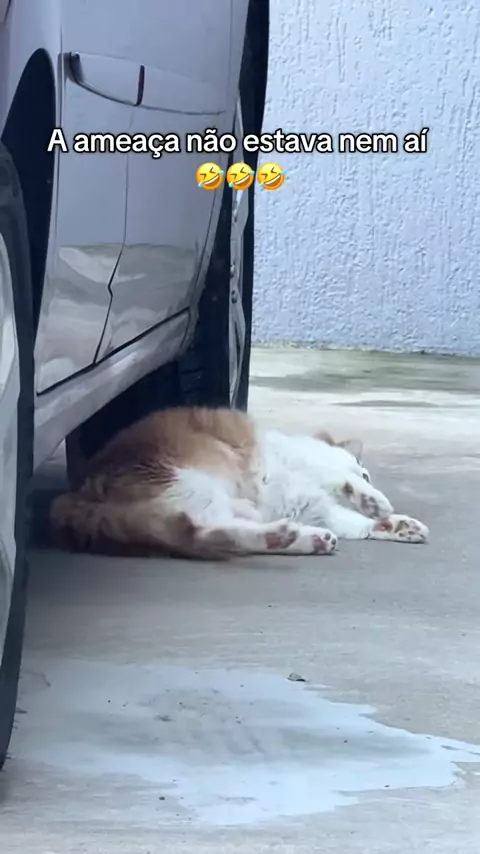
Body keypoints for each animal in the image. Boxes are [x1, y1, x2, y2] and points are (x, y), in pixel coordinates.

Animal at [50, 406, 429, 559]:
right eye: (365, 472)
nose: (366, 476)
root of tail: (75, 498)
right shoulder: (310, 477)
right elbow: (344, 484)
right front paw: (374, 500)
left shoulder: (309, 504)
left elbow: (356, 523)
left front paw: (399, 526)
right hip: (192, 485)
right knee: (204, 534)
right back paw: (285, 535)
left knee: (208, 536)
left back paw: (303, 539)